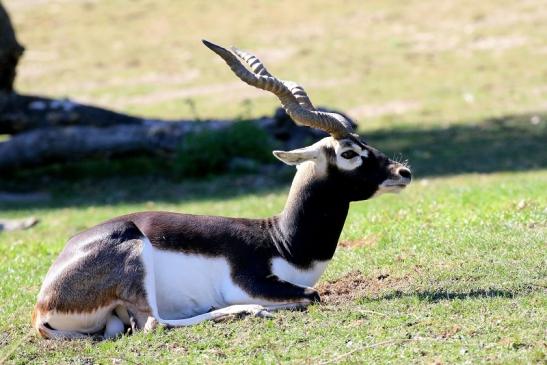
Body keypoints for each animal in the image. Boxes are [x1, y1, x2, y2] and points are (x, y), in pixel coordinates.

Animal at [32, 39, 414, 338]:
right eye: (349, 152)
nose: (403, 171)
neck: (282, 241)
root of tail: (42, 305)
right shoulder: (253, 282)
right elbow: (313, 295)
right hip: (136, 257)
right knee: (154, 323)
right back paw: (248, 310)